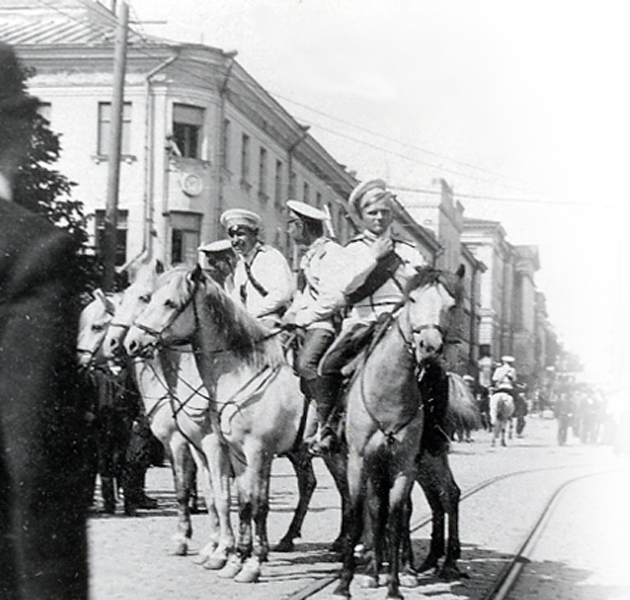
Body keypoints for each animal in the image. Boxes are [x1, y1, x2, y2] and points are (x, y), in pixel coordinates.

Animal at [123, 266, 350, 580]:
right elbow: (235, 501)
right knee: (321, 486)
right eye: (148, 297)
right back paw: (300, 540)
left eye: (167, 302)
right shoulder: (229, 451)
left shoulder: (249, 450)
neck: (243, 372)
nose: (130, 342)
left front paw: (243, 560)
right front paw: (235, 557)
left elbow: (250, 504)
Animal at [336, 268, 464, 600]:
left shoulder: (404, 464)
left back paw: (447, 563)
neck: (388, 392)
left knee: (448, 493)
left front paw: (394, 584)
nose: (430, 348)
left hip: (429, 456)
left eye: (451, 305)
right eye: (412, 299)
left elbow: (395, 517)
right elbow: (360, 513)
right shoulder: (359, 461)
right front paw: (346, 582)